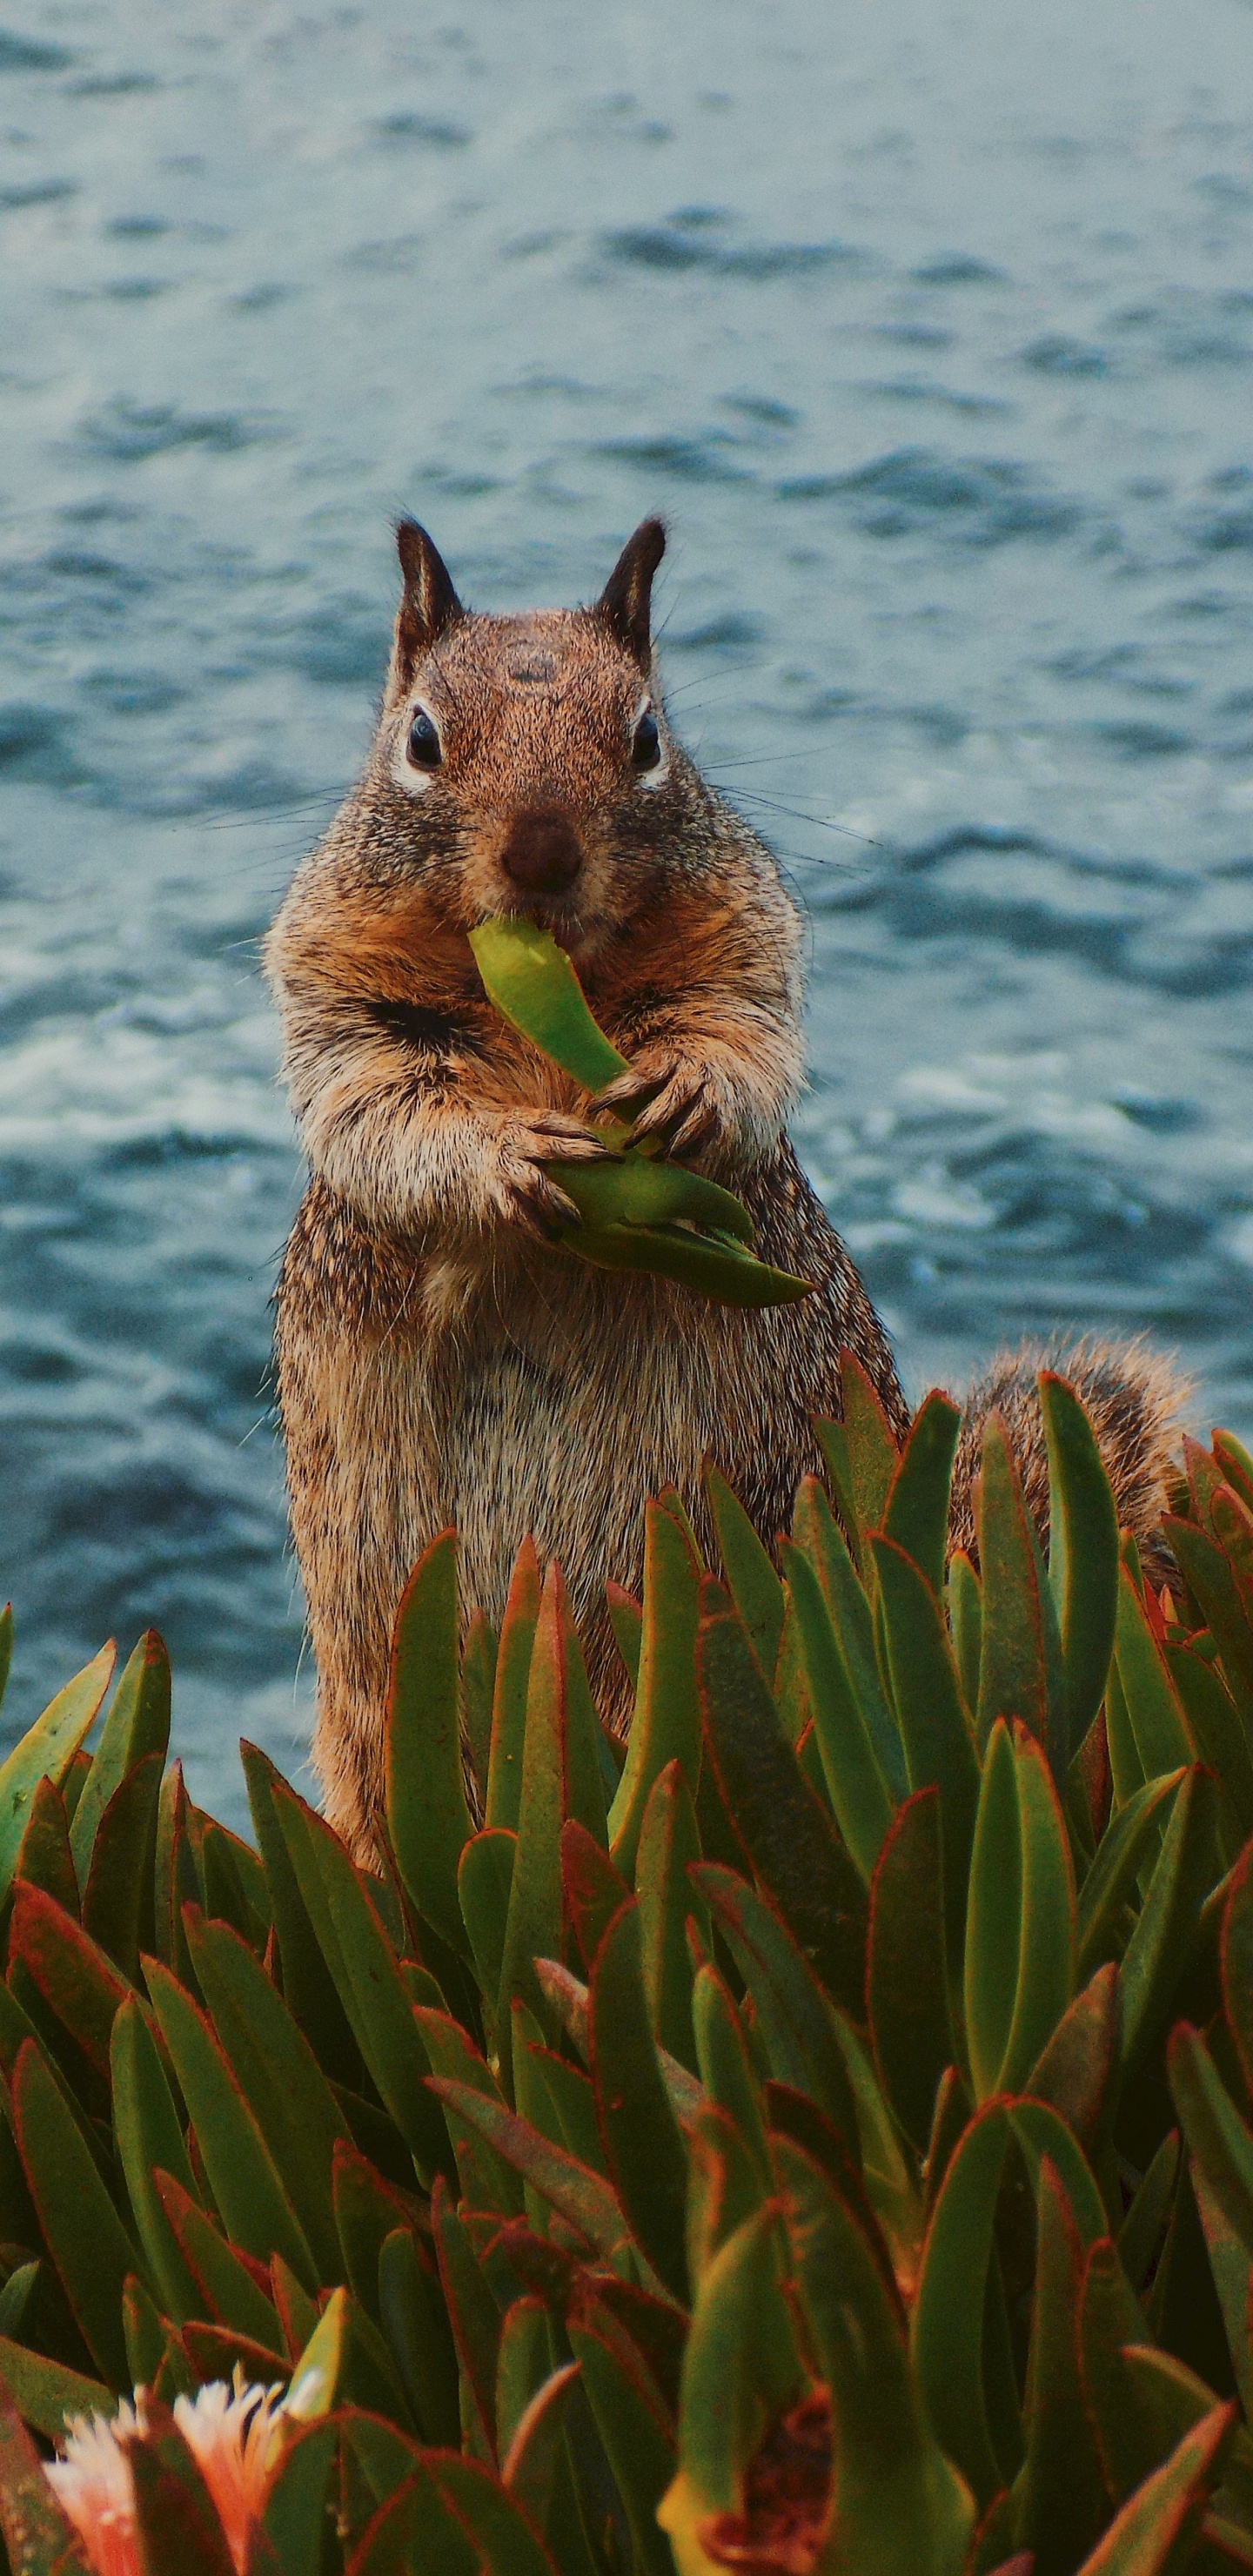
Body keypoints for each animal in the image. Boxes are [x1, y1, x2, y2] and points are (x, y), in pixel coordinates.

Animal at [266, 518, 1186, 1860]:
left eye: (648, 736)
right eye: (422, 739)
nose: (541, 851)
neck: (550, 996)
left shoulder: (746, 938)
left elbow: (744, 1033)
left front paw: (687, 1093)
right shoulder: (337, 992)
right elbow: (377, 1109)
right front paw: (507, 1160)